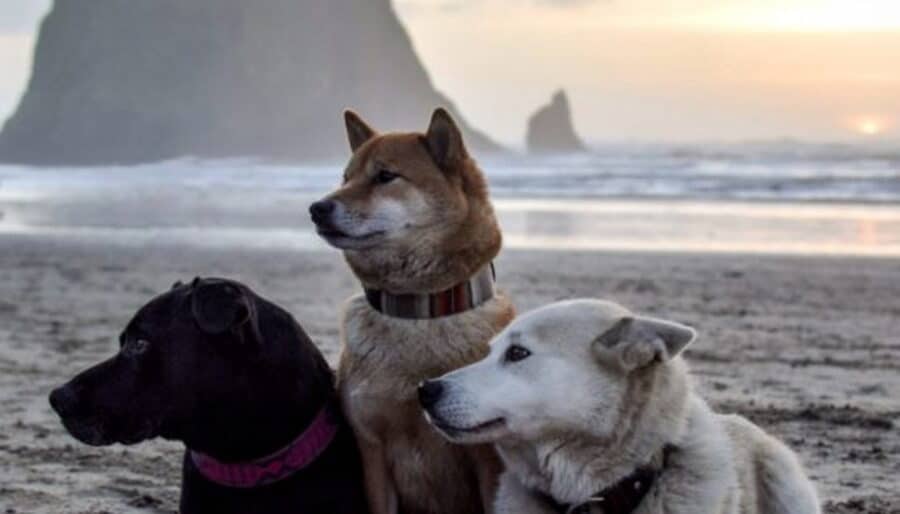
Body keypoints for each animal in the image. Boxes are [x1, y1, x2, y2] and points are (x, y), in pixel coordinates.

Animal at [310, 109, 512, 512]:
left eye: (385, 176)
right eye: (346, 178)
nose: (317, 209)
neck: (420, 309)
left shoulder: (488, 459)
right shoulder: (372, 450)